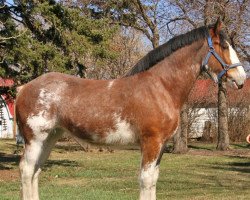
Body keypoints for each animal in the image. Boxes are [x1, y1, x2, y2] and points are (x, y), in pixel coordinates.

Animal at [16, 18, 246, 200]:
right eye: (224, 45)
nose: (241, 78)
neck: (160, 86)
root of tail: (24, 88)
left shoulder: (161, 145)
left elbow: (153, 179)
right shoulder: (151, 142)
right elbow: (145, 180)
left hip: (50, 137)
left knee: (35, 171)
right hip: (35, 139)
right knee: (27, 171)